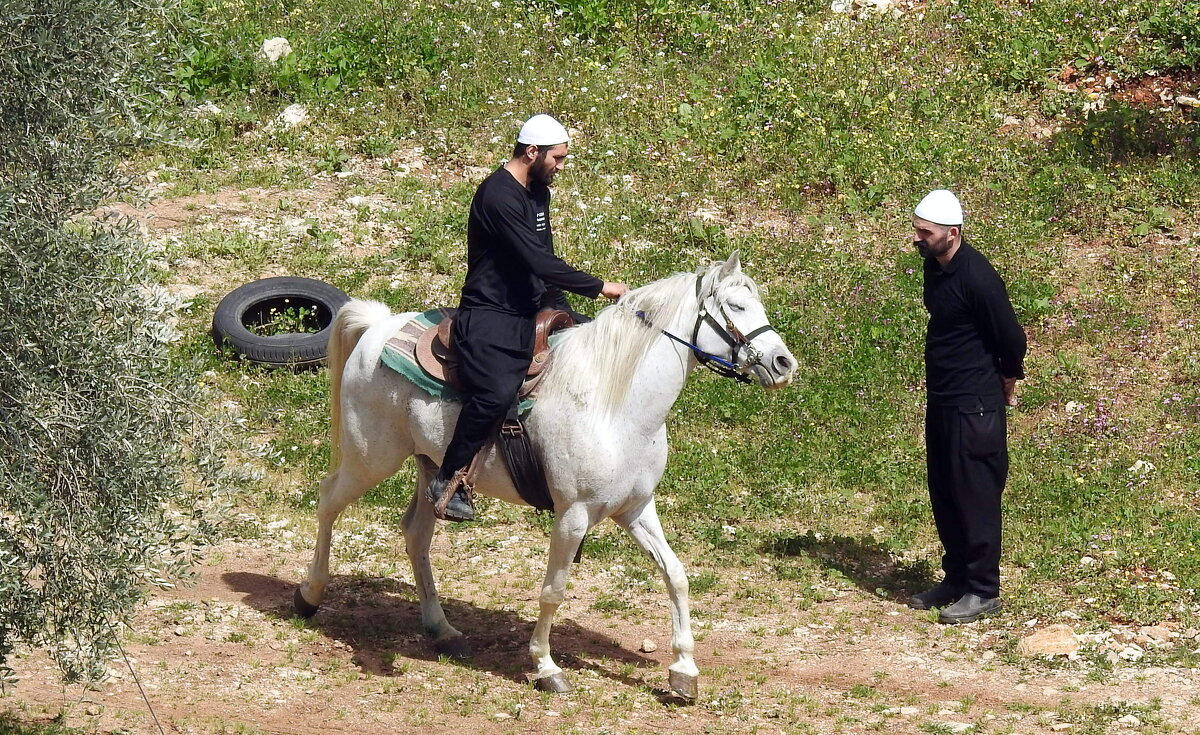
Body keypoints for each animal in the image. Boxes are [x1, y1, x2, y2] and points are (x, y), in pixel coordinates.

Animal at [292, 252, 796, 701]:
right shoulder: (573, 515)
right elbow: (553, 591)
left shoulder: (635, 508)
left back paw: (443, 629)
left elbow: (675, 574)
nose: (784, 364)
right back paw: (309, 596)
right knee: (328, 501)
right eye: (736, 307)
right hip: (370, 458)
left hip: (430, 468)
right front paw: (546, 666)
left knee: (415, 533)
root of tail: (379, 325)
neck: (615, 404)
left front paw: (684, 671)